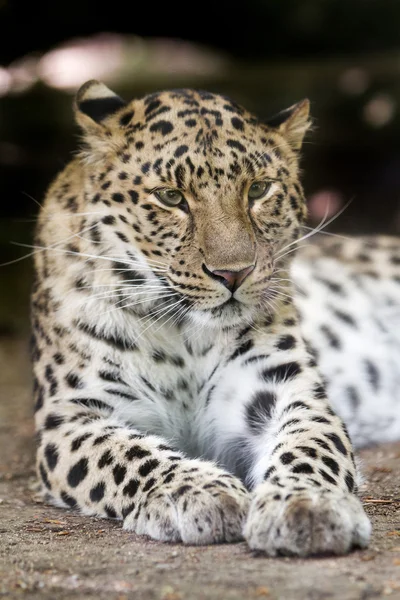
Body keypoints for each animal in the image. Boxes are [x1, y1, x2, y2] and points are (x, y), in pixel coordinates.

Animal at [31, 79, 400, 556]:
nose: (233, 273)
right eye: (171, 197)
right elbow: (126, 456)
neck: (183, 335)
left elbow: (310, 445)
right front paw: (195, 491)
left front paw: (308, 504)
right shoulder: (74, 417)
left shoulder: (287, 391)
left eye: (259, 190)